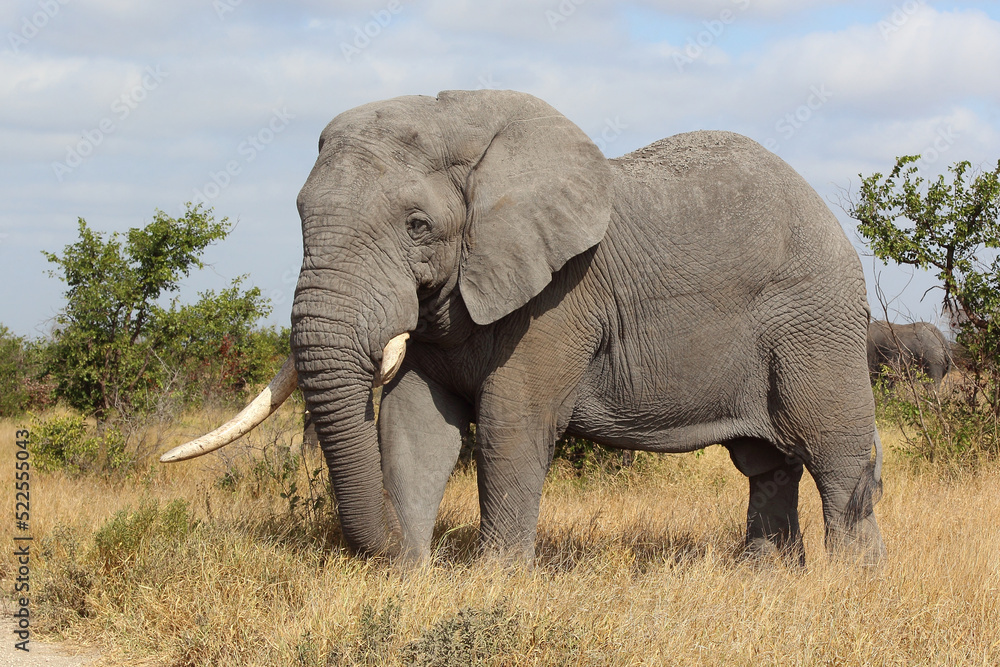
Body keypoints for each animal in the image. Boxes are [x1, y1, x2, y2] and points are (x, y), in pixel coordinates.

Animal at [162, 89, 885, 566]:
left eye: (418, 226)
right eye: (300, 214)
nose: (390, 550)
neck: (462, 123)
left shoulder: (558, 297)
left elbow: (511, 426)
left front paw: (490, 580)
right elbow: (413, 425)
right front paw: (411, 577)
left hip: (816, 319)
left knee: (835, 453)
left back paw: (849, 582)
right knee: (766, 462)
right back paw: (763, 576)